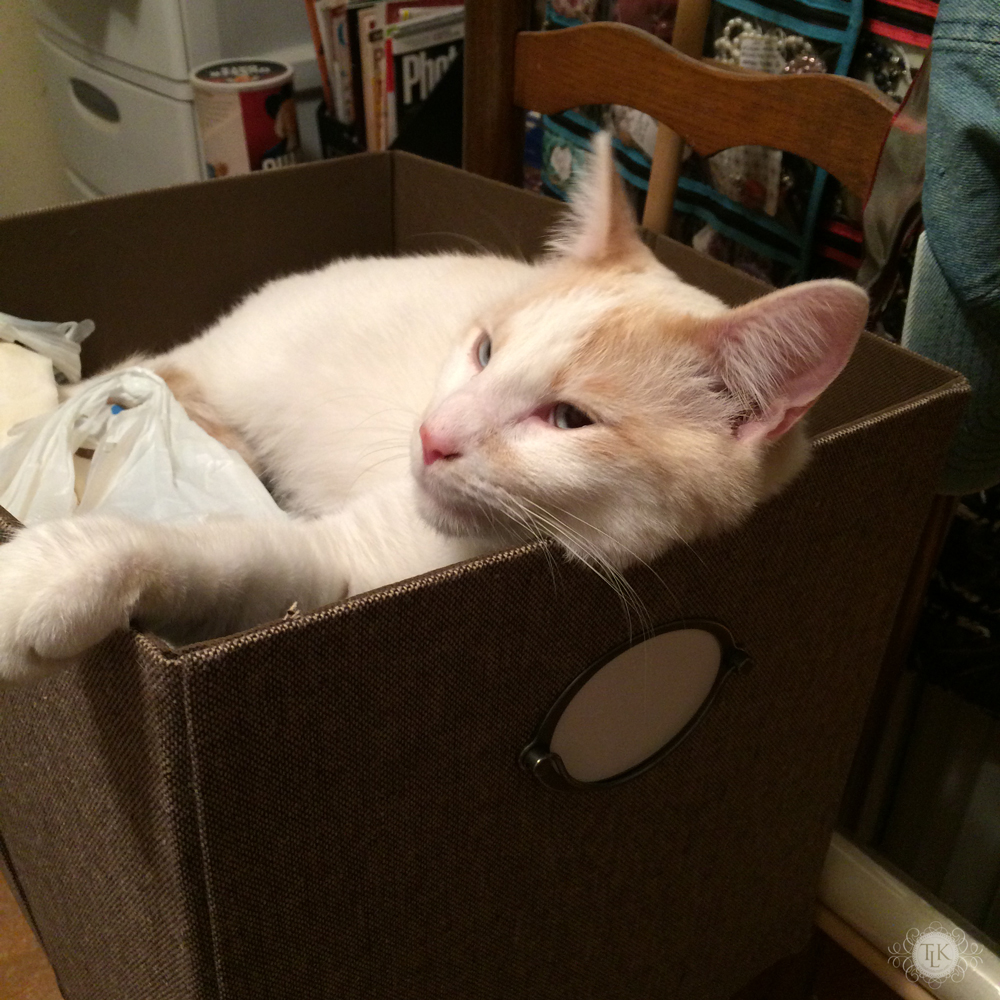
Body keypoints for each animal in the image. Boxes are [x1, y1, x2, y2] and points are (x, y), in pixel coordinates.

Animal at [0, 133, 864, 684]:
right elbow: (208, 551)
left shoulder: (329, 570)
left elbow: (223, 552)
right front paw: (52, 572)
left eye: (568, 421)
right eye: (484, 350)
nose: (431, 434)